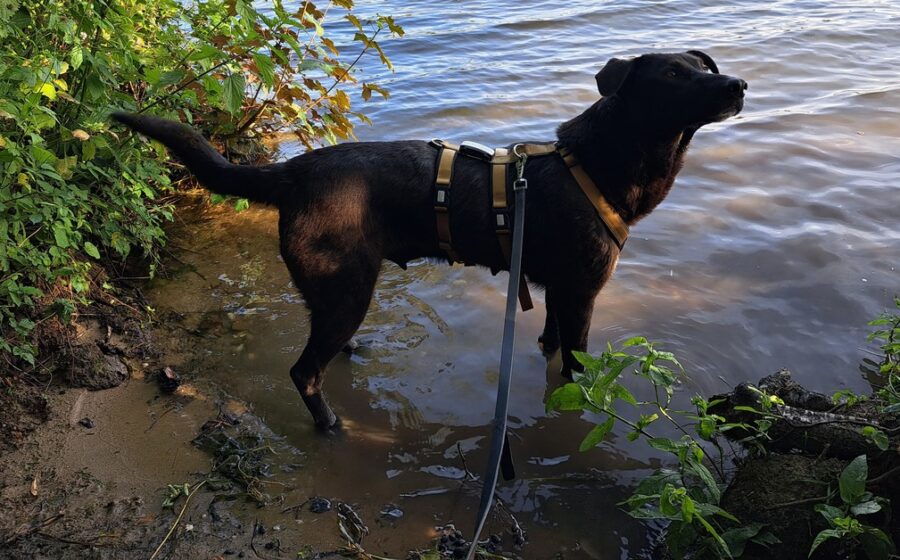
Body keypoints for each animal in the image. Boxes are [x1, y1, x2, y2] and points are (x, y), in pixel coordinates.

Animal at [113, 50, 746, 431]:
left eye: (702, 64)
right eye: (673, 74)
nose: (739, 83)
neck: (594, 164)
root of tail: (294, 171)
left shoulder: (558, 292)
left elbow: (550, 344)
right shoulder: (584, 294)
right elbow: (578, 368)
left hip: (339, 293)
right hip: (345, 289)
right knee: (303, 372)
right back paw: (331, 426)